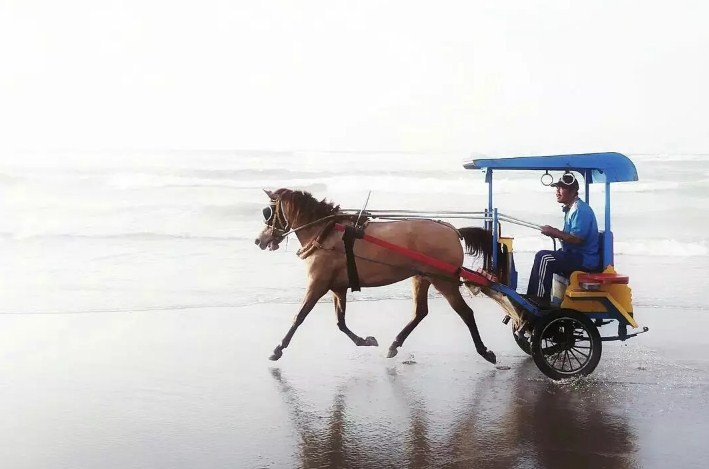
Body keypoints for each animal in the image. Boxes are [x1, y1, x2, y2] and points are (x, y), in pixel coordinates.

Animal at [256, 188, 498, 364]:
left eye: (268, 212)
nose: (259, 240)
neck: (326, 233)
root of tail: (452, 230)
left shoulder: (318, 283)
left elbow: (299, 316)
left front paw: (278, 349)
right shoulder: (338, 287)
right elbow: (340, 322)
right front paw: (365, 340)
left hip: (443, 280)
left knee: (465, 313)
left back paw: (484, 350)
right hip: (422, 277)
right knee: (420, 312)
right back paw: (394, 344)